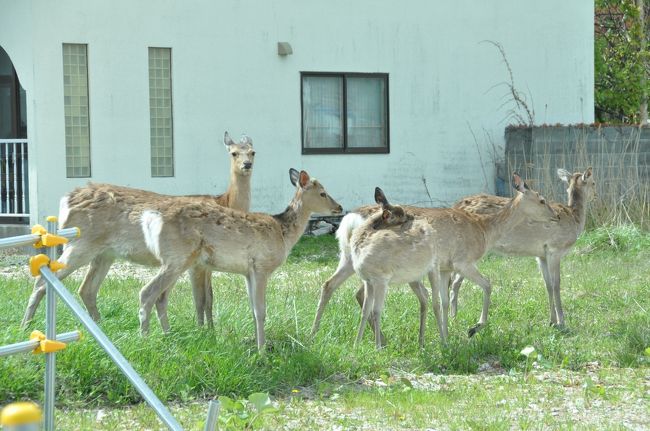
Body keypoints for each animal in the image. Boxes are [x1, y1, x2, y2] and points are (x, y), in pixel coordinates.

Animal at [20, 132, 253, 328]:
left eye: (252, 151)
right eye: (233, 152)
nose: (247, 164)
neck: (225, 202)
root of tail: (66, 199)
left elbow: (209, 298)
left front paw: (209, 331)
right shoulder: (196, 264)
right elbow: (202, 299)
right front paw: (205, 332)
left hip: (104, 253)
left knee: (86, 289)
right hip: (80, 243)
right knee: (42, 281)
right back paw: (26, 326)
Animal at [450, 166, 592, 328]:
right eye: (593, 182)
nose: (594, 194)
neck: (575, 219)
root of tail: (455, 205)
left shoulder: (541, 255)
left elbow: (547, 284)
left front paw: (551, 320)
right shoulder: (555, 249)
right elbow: (556, 284)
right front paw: (561, 321)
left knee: (454, 282)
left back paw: (453, 318)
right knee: (454, 282)